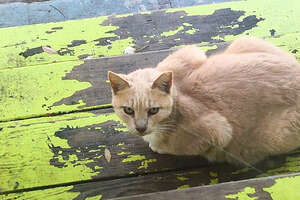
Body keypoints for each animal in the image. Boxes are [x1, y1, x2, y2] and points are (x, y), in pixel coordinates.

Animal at [108, 36, 300, 165]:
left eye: (153, 110)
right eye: (128, 110)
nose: (141, 128)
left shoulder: (219, 131)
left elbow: (175, 147)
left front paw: (157, 145)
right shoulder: (188, 52)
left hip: (278, 135)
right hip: (246, 40)